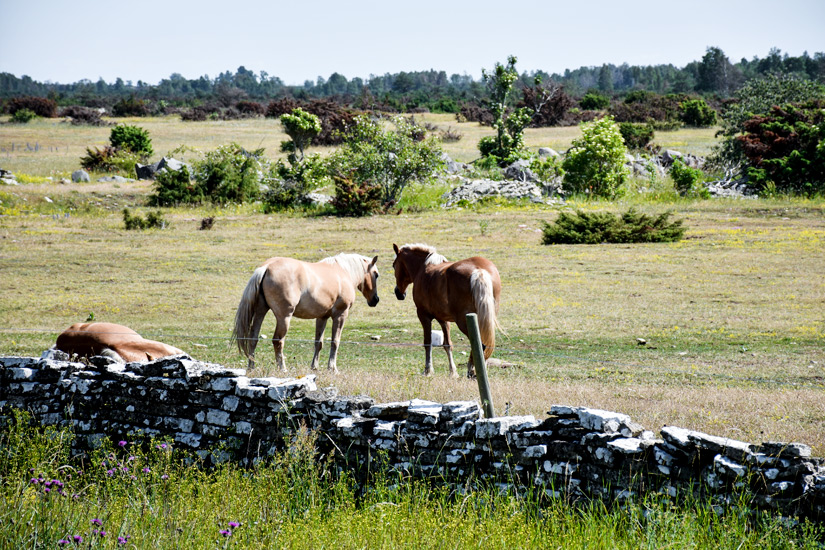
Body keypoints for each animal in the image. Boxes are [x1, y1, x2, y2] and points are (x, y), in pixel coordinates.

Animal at [232, 254, 380, 376]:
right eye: (376, 274)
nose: (375, 300)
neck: (343, 271)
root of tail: (267, 267)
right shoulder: (340, 315)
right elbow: (335, 342)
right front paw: (332, 368)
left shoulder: (322, 317)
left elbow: (318, 343)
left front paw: (314, 367)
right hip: (284, 317)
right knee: (278, 340)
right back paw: (282, 368)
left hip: (260, 311)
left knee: (253, 338)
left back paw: (251, 367)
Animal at [392, 245, 502, 380]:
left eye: (394, 265)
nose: (398, 293)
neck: (424, 267)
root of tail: (479, 271)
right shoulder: (443, 319)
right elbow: (447, 344)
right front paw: (452, 371)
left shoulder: (423, 315)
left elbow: (427, 343)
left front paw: (428, 370)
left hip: (464, 322)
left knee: (480, 345)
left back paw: (472, 371)